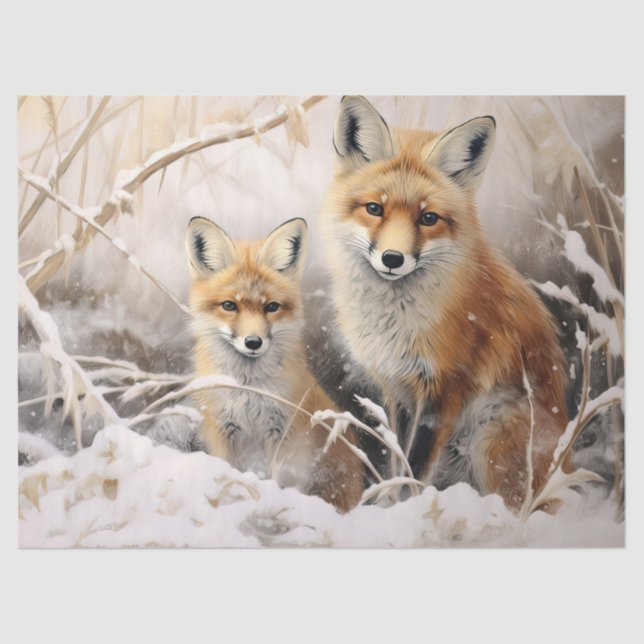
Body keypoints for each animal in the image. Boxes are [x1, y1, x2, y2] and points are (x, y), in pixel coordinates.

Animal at [185, 215, 364, 512]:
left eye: (271, 307)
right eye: (229, 306)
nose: (253, 342)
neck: (248, 390)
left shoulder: (282, 431)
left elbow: (275, 480)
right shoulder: (223, 428)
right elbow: (228, 471)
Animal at [319, 96, 569, 510]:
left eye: (428, 217)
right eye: (374, 209)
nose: (392, 259)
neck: (397, 320)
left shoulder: (445, 388)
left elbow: (415, 468)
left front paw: (403, 511)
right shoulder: (399, 389)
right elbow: (398, 460)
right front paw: (390, 507)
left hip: (488, 442)